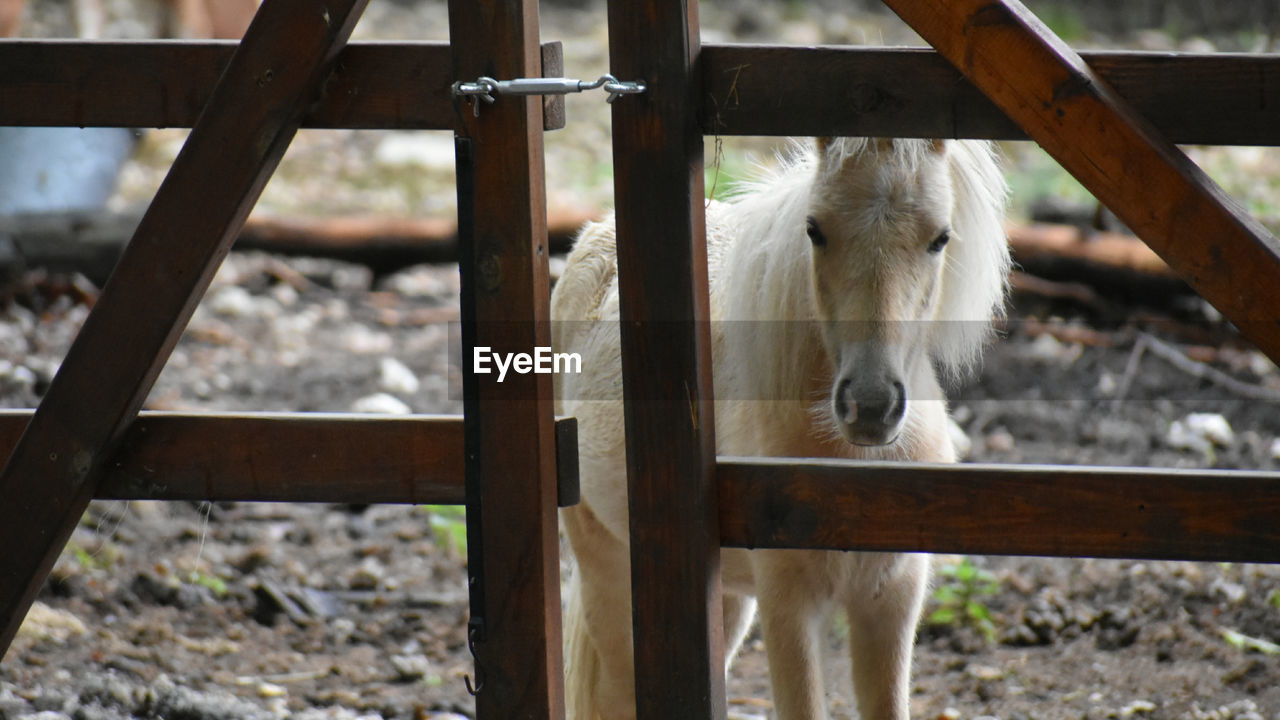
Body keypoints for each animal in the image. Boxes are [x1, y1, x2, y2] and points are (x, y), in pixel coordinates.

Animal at [555, 135, 1013, 717]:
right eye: (814, 229)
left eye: (940, 237)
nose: (870, 406)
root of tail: (593, 237)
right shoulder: (790, 605)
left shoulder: (890, 601)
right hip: (608, 572)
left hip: (726, 604)